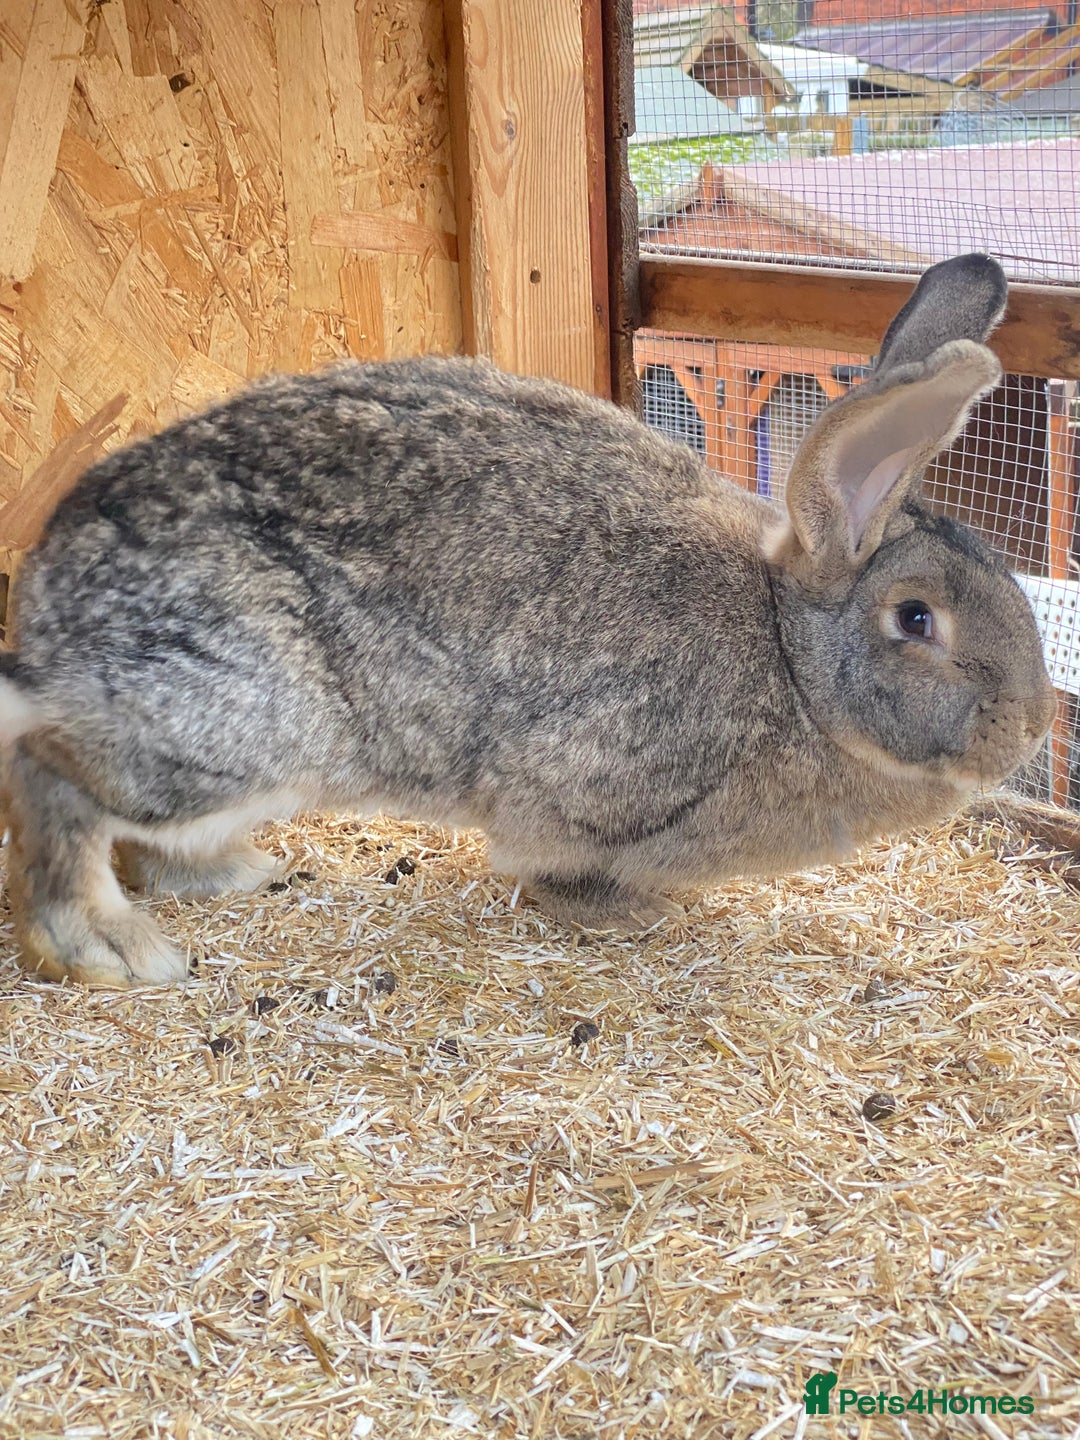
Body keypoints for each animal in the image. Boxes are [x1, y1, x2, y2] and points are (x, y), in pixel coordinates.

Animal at [0, 252, 1057, 986]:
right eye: (915, 620)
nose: (1027, 731)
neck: (791, 660)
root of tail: (46, 624)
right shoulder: (585, 786)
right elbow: (554, 865)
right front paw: (626, 917)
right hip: (237, 720)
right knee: (58, 786)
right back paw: (115, 949)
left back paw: (234, 875)